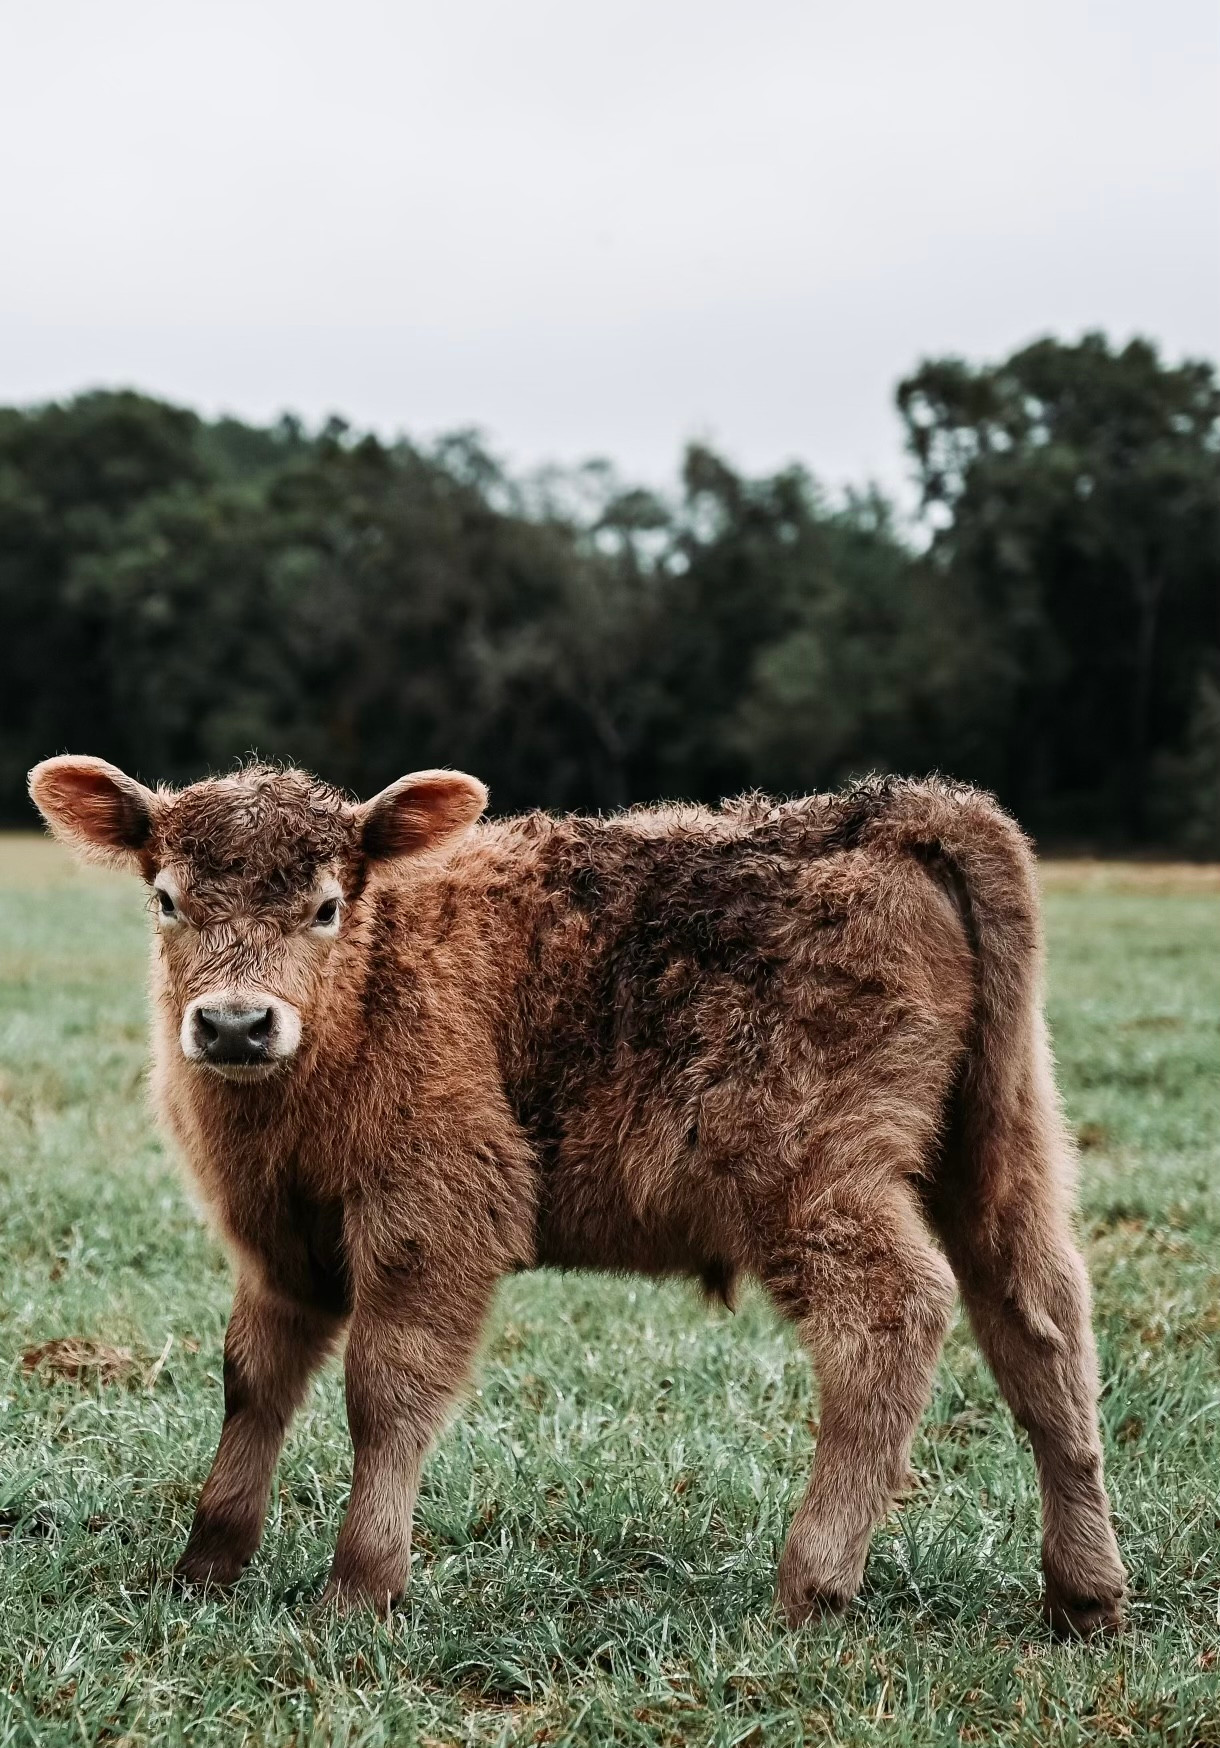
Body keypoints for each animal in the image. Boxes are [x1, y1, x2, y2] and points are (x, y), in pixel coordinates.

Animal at [28, 754, 1126, 1635]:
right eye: (167, 898)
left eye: (327, 905)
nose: (234, 1023)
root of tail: (898, 808)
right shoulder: (279, 1239)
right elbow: (253, 1378)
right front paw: (206, 1564)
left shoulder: (436, 1211)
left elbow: (385, 1389)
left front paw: (359, 1585)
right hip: (1001, 1148)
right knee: (1040, 1320)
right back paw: (1084, 1595)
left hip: (813, 1170)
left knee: (893, 1314)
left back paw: (811, 1584)